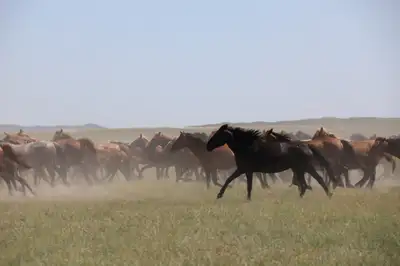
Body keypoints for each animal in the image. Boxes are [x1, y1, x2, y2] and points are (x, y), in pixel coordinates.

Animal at [206, 123, 334, 201]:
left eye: (218, 134)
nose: (208, 146)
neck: (247, 147)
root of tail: (306, 146)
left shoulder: (246, 170)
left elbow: (245, 184)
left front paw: (246, 199)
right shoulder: (243, 170)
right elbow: (230, 180)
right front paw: (220, 195)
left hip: (300, 169)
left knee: (304, 185)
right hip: (305, 168)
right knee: (316, 181)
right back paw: (328, 195)